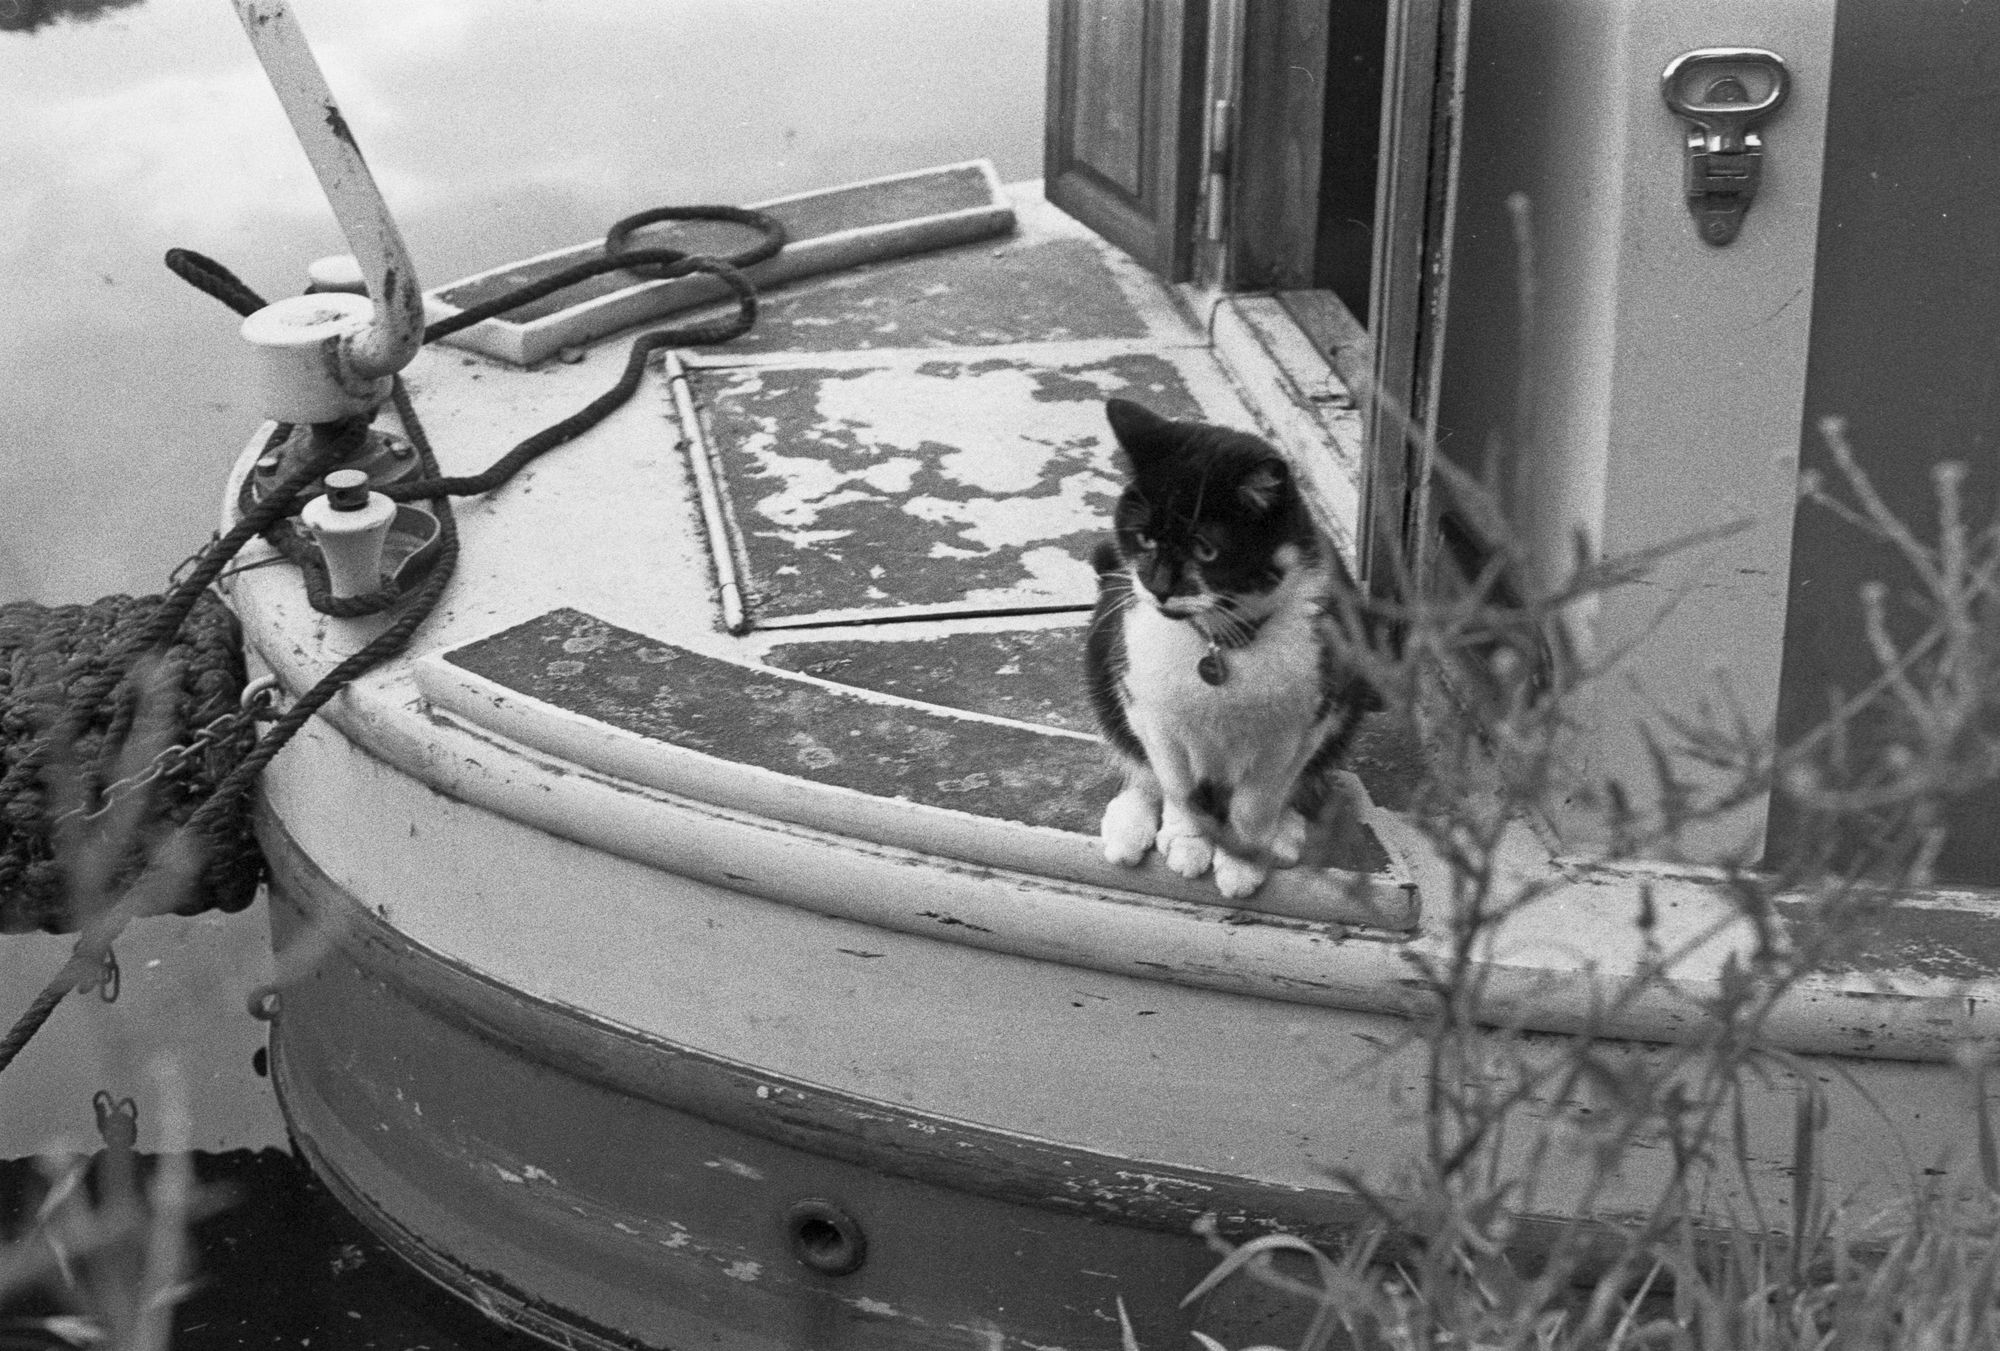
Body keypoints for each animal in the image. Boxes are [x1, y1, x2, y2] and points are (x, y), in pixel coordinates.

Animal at [1088, 397, 1368, 895]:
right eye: (1144, 537)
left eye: (1206, 550)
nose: (1158, 587)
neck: (1220, 643)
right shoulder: (1150, 709)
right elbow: (1174, 782)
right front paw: (1187, 842)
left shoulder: (1302, 721)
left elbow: (1259, 799)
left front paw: (1242, 862)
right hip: (1104, 666)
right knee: (1137, 764)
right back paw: (1128, 828)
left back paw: (1285, 834)